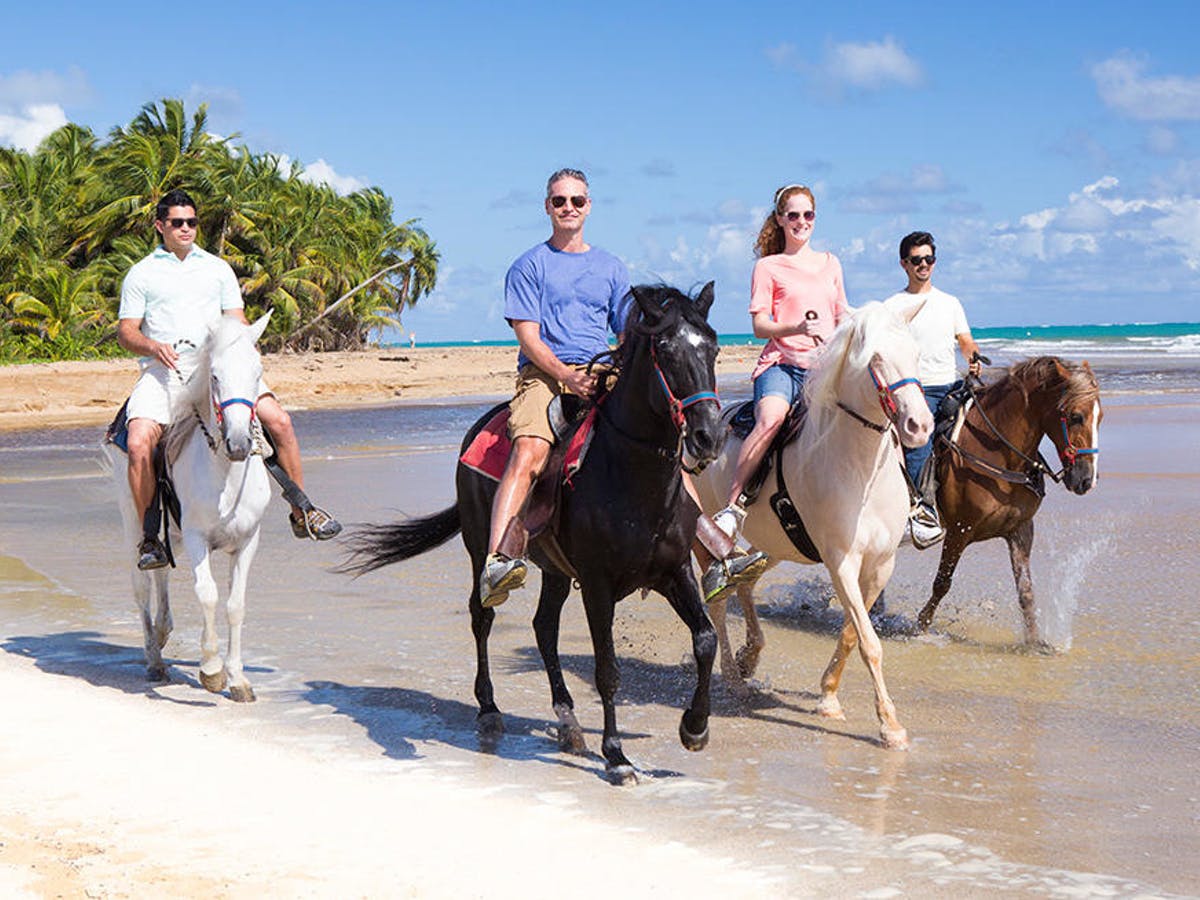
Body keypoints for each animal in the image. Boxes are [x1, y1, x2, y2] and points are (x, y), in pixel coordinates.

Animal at [103, 316, 274, 705]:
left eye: (257, 372)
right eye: (215, 376)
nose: (239, 443)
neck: (225, 474)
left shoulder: (248, 541)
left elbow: (235, 605)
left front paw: (238, 680)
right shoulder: (197, 538)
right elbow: (208, 595)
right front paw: (211, 672)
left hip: (172, 535)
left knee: (161, 570)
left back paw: (163, 633)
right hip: (134, 523)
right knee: (142, 586)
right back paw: (154, 660)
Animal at [343, 283, 724, 782]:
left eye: (714, 348)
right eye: (665, 349)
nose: (708, 436)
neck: (630, 475)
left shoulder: (674, 571)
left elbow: (706, 640)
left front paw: (695, 728)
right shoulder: (598, 586)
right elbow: (608, 670)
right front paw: (617, 755)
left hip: (557, 571)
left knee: (544, 628)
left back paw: (567, 720)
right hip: (481, 549)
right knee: (482, 617)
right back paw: (489, 708)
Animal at [700, 300, 931, 748]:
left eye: (915, 355)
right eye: (876, 359)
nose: (920, 426)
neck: (859, 470)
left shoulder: (880, 564)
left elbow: (852, 633)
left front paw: (828, 698)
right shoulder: (841, 560)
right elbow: (869, 642)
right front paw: (890, 725)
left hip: (774, 545)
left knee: (745, 582)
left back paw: (750, 657)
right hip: (703, 539)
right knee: (718, 600)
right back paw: (734, 679)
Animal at [916, 355, 1104, 643]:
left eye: (1100, 418)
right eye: (1075, 416)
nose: (1086, 479)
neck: (1001, 455)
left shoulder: (1020, 530)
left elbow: (1026, 592)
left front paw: (1034, 641)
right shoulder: (959, 530)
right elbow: (942, 583)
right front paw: (921, 625)